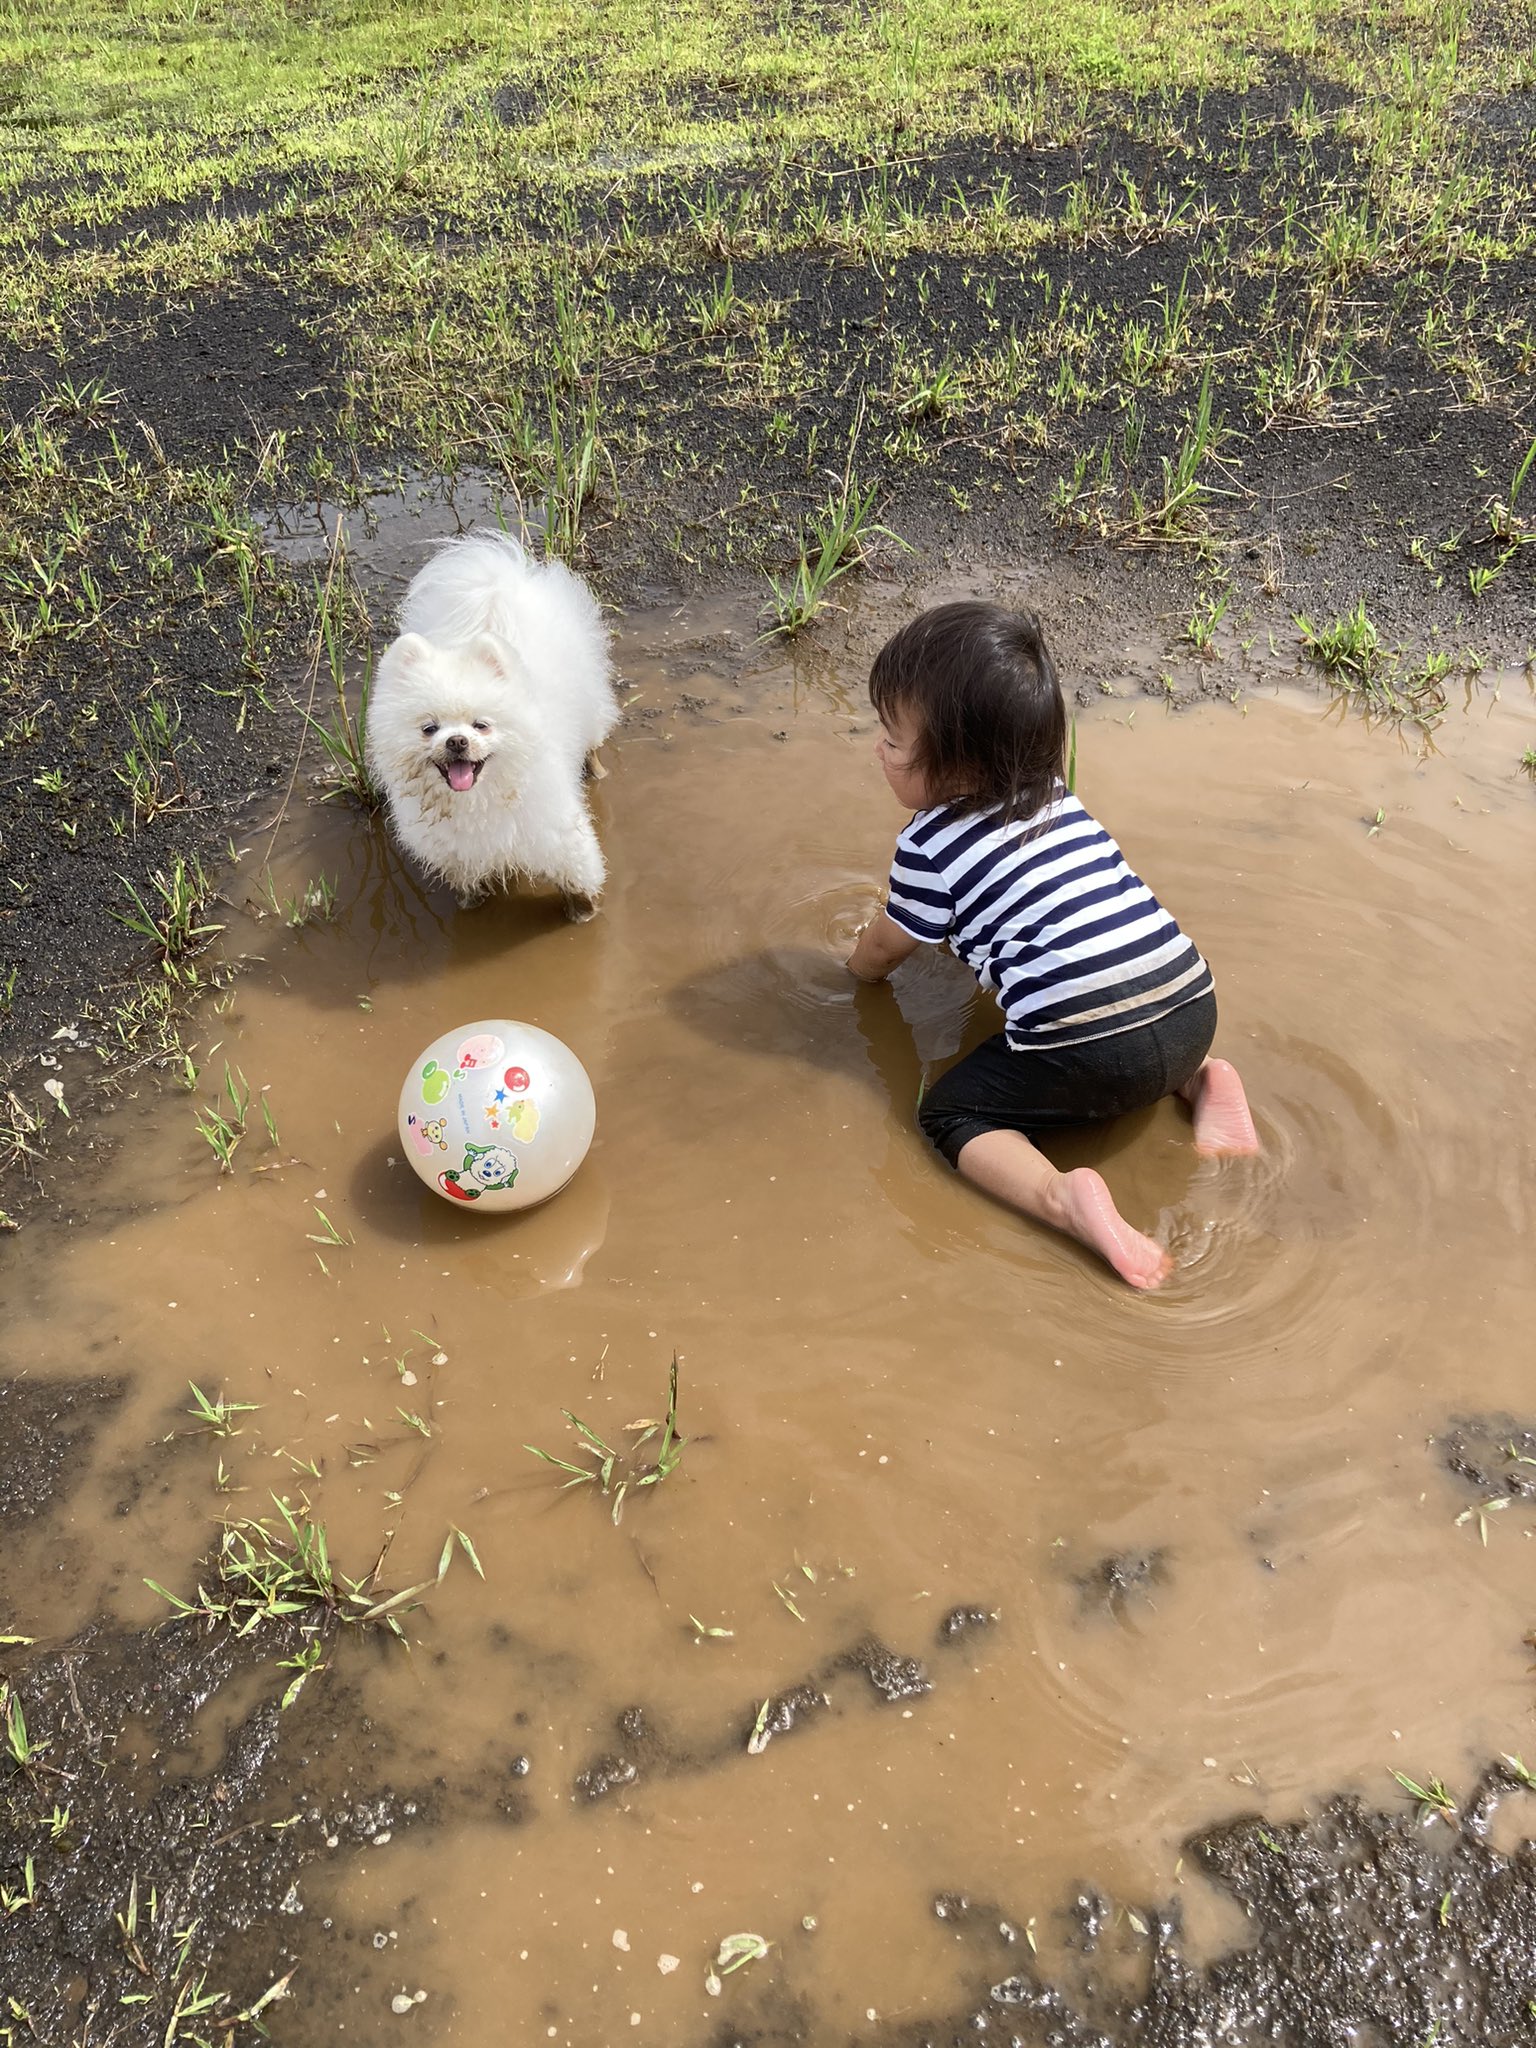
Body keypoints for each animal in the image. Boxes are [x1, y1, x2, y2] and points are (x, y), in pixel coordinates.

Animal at [366, 532, 618, 917]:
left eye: (481, 725)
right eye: (429, 728)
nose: (456, 741)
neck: (478, 801)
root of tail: (506, 580)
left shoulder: (557, 836)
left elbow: (578, 883)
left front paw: (583, 915)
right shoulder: (459, 858)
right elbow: (470, 891)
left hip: (591, 705)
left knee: (593, 742)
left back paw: (597, 771)